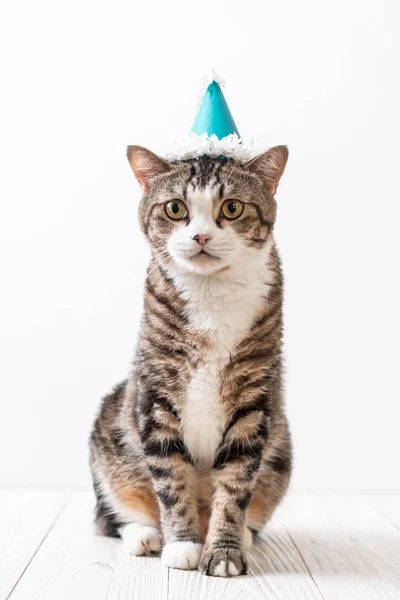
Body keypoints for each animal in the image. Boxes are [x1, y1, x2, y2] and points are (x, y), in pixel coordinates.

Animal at [90, 145, 290, 576]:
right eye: (175, 208)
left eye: (232, 207)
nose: (201, 235)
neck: (211, 295)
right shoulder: (154, 393)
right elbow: (170, 478)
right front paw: (182, 545)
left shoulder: (255, 400)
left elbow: (236, 483)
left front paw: (225, 552)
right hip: (111, 426)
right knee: (116, 511)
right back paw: (146, 535)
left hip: (282, 452)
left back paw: (242, 536)